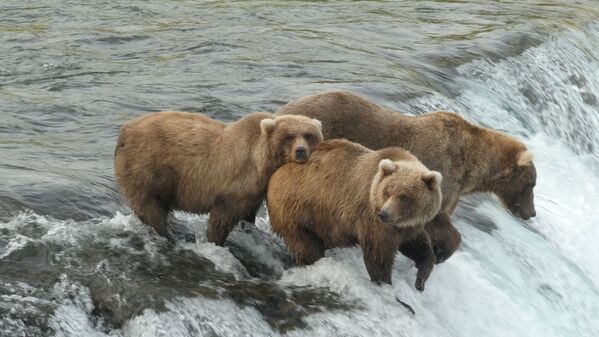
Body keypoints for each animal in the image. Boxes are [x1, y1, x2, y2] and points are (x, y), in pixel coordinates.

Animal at [115, 110, 326, 244]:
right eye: (289, 136)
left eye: (308, 135)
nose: (300, 151)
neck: (262, 163)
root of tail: (124, 130)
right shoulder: (235, 183)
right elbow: (222, 217)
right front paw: (215, 240)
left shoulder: (255, 190)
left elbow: (249, 212)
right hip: (147, 167)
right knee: (150, 207)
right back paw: (164, 233)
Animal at [266, 138, 440, 290]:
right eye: (387, 192)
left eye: (404, 197)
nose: (384, 214)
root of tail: (275, 174)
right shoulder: (372, 220)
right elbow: (379, 255)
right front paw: (385, 282)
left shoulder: (408, 226)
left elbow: (418, 246)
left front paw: (421, 280)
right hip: (298, 211)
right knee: (305, 246)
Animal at [276, 91, 540, 262]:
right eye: (531, 185)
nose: (532, 213)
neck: (470, 168)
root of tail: (282, 111)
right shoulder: (440, 171)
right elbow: (436, 221)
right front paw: (441, 252)